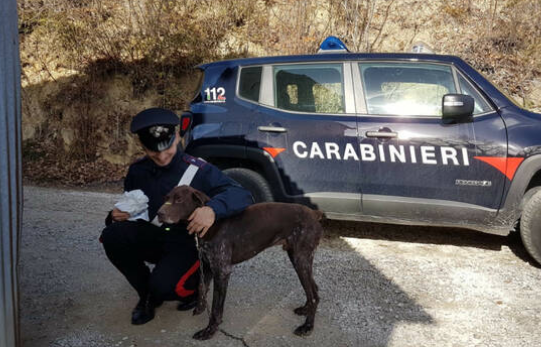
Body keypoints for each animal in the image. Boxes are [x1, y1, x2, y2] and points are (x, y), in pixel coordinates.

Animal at [156, 186, 324, 342]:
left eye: (179, 199)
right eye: (166, 197)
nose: (159, 214)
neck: (211, 224)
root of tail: (314, 214)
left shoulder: (222, 271)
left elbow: (216, 308)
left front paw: (209, 331)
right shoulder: (207, 266)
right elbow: (201, 287)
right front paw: (200, 308)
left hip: (301, 259)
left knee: (314, 295)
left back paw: (307, 326)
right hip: (297, 258)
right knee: (314, 289)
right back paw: (305, 309)